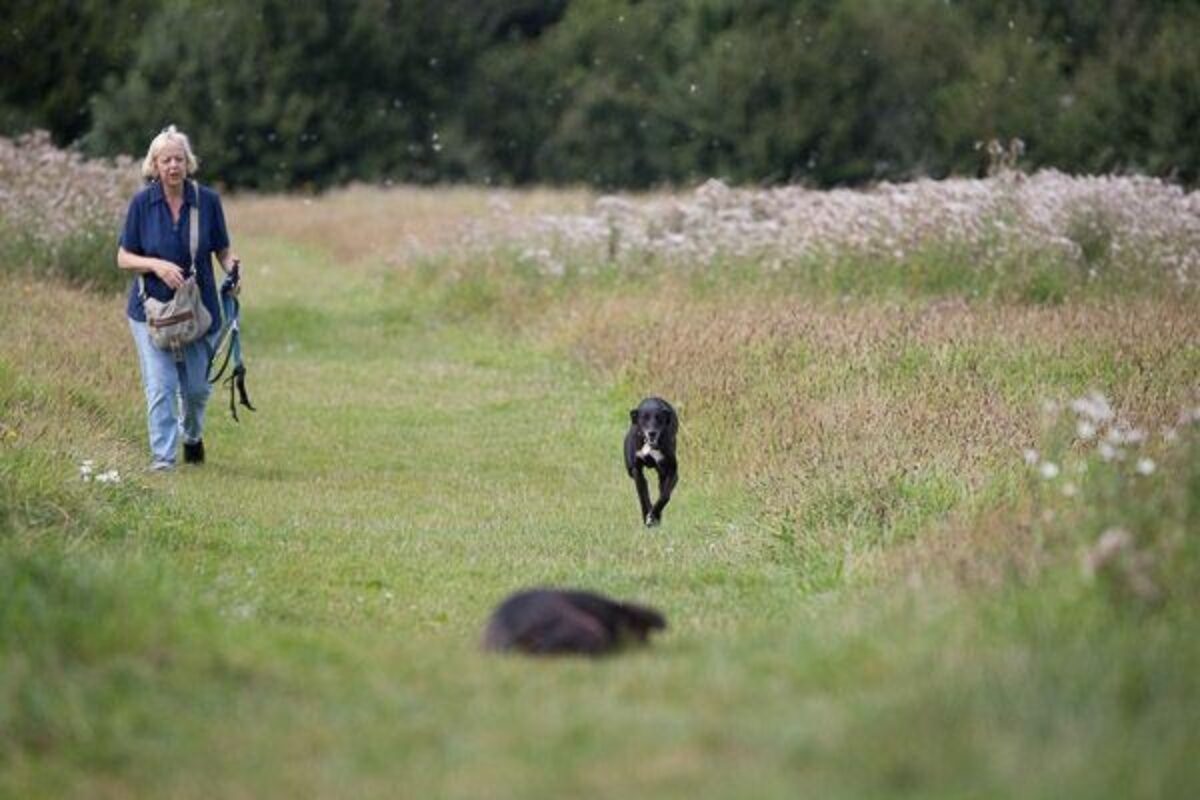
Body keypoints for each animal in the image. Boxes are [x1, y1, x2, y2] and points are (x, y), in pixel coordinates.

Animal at [624, 395, 681, 525]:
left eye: (659, 418)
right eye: (644, 418)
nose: (652, 433)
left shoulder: (672, 471)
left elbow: (665, 495)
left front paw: (653, 515)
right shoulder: (636, 471)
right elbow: (642, 495)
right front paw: (647, 515)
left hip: (662, 473)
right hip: (629, 470)